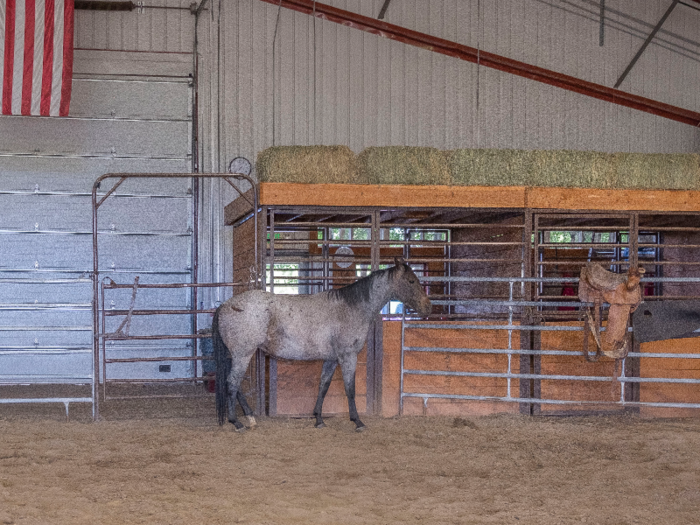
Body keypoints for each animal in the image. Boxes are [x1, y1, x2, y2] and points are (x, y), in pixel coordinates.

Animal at [213, 256, 432, 432]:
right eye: (411, 280)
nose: (428, 307)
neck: (350, 308)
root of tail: (225, 305)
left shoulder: (331, 359)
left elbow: (324, 386)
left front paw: (318, 419)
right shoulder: (347, 356)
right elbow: (350, 389)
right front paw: (357, 421)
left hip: (238, 355)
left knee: (235, 385)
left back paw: (250, 418)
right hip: (243, 354)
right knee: (232, 383)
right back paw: (237, 423)